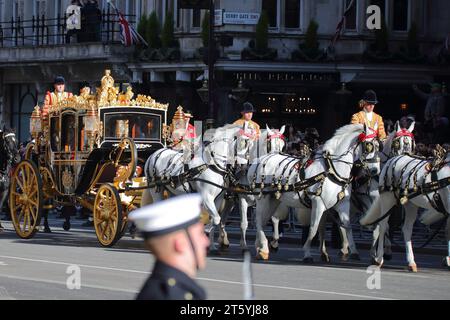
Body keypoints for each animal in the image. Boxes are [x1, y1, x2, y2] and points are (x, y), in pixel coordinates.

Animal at [250, 124, 380, 262]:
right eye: (369, 145)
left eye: (379, 145)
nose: (375, 171)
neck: (331, 170)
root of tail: (262, 159)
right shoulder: (318, 203)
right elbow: (313, 228)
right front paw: (307, 253)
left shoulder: (342, 204)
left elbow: (347, 226)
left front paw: (354, 251)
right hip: (263, 198)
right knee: (258, 220)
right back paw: (263, 248)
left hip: (274, 199)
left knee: (265, 220)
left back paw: (260, 247)